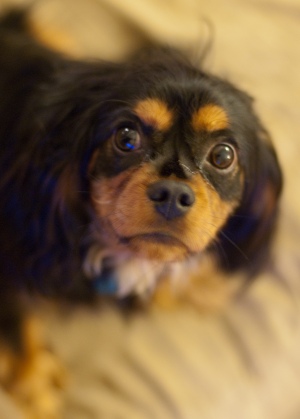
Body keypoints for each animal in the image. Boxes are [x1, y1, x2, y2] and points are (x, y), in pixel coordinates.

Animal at [0, 7, 282, 419]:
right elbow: (18, 325)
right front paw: (35, 388)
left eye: (223, 155)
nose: (172, 193)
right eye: (127, 137)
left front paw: (200, 285)